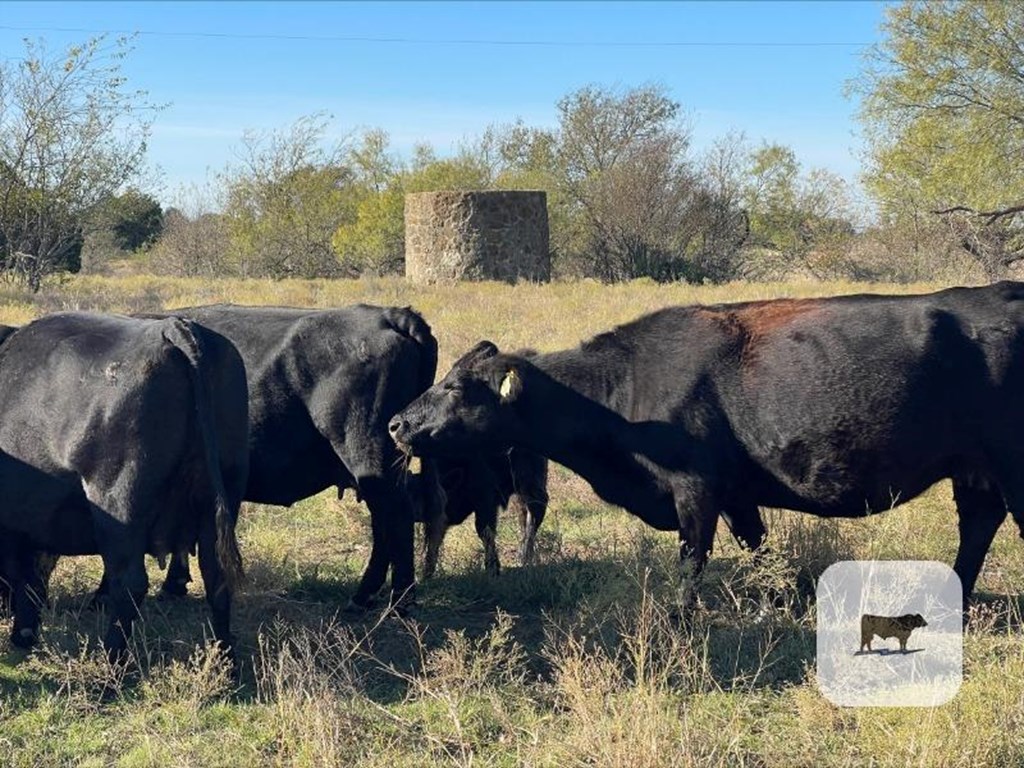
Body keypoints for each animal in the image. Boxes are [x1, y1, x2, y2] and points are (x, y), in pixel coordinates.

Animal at [0, 313, 245, 663]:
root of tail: (171, 327)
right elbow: (32, 574)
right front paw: (24, 633)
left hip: (118, 502)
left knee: (129, 584)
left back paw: (111, 664)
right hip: (220, 501)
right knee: (218, 579)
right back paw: (227, 663)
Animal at [142, 307, 438, 614]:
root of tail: (390, 315)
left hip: (369, 459)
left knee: (397, 518)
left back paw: (397, 603)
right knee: (384, 525)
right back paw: (365, 598)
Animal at [389, 284, 1024, 614]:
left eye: (456, 387)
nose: (397, 423)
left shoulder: (697, 490)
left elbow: (692, 560)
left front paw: (681, 615)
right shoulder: (738, 494)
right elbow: (758, 547)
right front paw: (779, 601)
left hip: (1009, 466)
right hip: (974, 472)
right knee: (977, 526)